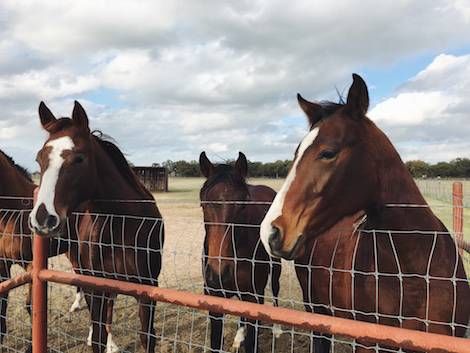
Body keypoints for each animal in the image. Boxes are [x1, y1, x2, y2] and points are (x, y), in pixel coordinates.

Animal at [29, 101, 165, 352]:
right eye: (39, 159)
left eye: (79, 159)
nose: (43, 218)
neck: (124, 224)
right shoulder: (97, 287)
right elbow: (98, 336)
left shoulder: (147, 290)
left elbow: (147, 337)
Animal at [199, 151, 282, 352]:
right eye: (203, 204)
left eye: (243, 204)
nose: (219, 272)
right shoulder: (215, 299)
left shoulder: (252, 296)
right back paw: (239, 336)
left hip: (275, 268)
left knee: (275, 290)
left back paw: (276, 329)